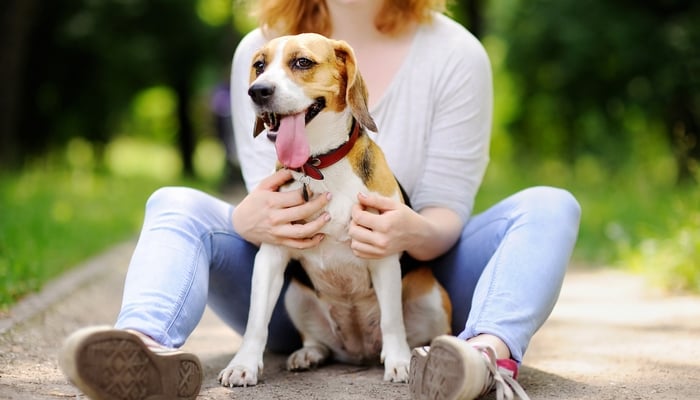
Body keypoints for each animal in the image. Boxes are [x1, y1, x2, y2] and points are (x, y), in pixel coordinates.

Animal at [216, 33, 452, 388]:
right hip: (295, 297)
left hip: (433, 298)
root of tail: (359, 352)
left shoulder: (382, 253)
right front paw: (243, 365)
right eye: (259, 65)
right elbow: (255, 322)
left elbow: (392, 321)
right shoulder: (270, 257)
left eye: (302, 62)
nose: (258, 91)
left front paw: (398, 363)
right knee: (319, 342)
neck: (318, 167)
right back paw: (308, 354)